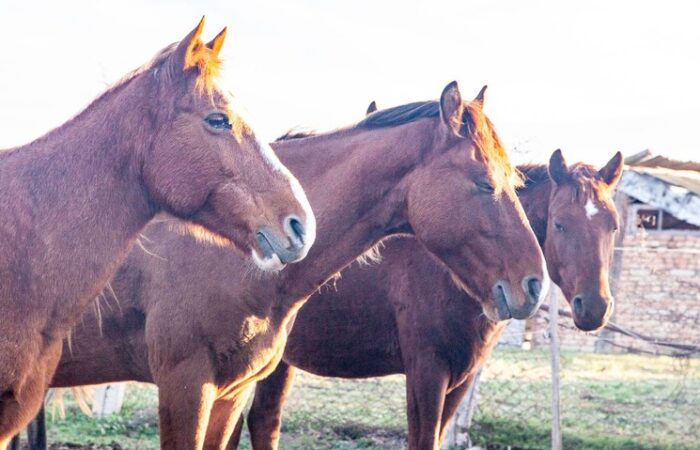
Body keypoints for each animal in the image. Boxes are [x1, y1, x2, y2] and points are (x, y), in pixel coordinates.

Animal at [23, 82, 549, 450]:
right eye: (484, 182)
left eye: (516, 179)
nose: (533, 284)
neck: (234, 250)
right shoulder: (184, 386)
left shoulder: (229, 393)